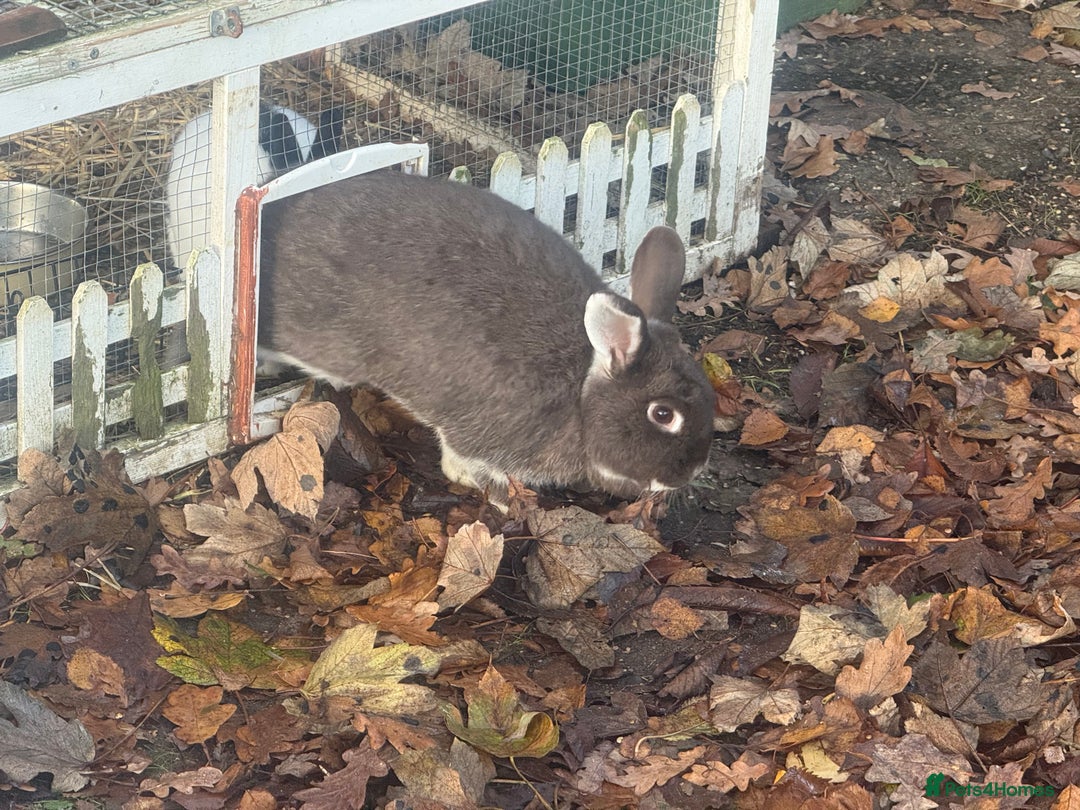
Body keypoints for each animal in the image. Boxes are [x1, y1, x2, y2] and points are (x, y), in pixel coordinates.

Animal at [257, 170, 715, 504]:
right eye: (662, 414)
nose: (691, 471)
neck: (581, 393)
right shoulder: (474, 432)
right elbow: (459, 463)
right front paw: (499, 496)